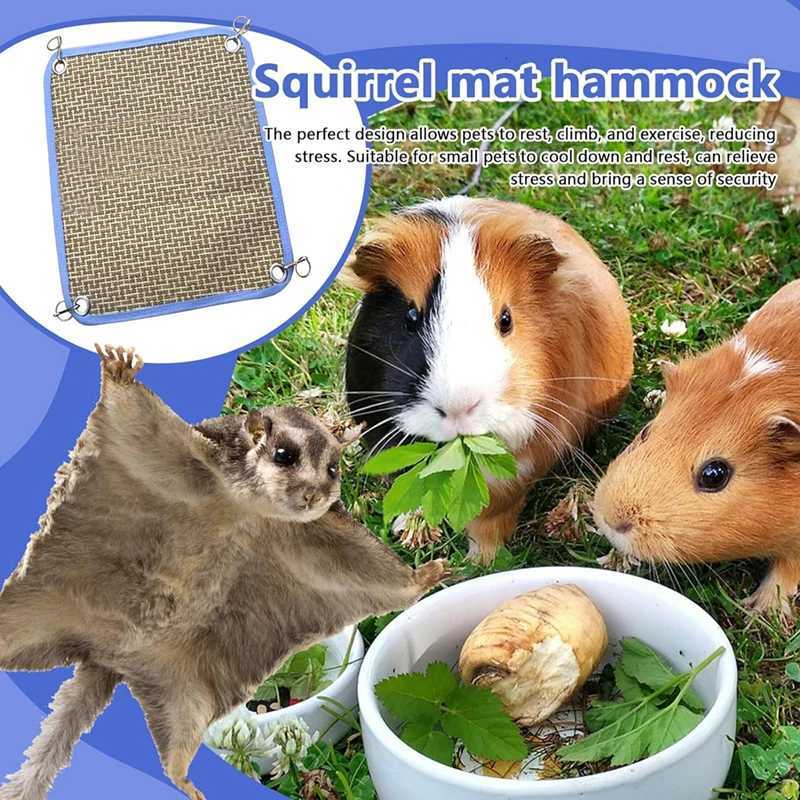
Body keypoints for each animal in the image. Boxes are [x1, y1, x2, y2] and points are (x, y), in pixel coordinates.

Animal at [0, 345, 450, 800]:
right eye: (284, 455)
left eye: (334, 469)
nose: (314, 495)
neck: (250, 508)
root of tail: (109, 658)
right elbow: (134, 414)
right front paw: (119, 371)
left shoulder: (318, 537)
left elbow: (371, 570)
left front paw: (425, 576)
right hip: (45, 601)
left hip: (184, 688)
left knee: (177, 740)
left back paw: (182, 778)